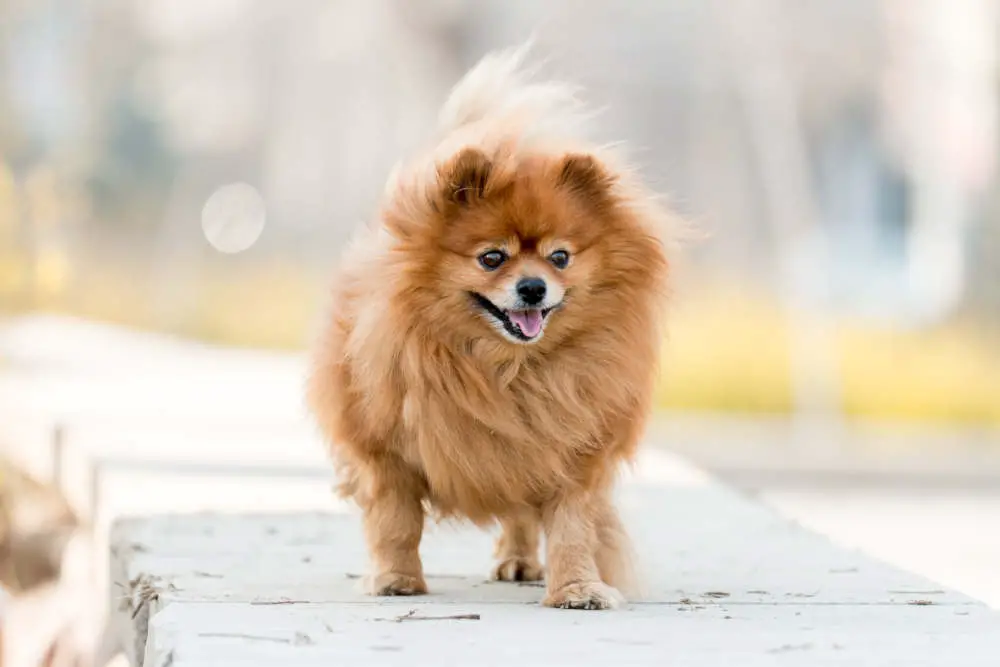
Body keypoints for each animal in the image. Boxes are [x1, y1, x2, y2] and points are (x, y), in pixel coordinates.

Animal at [308, 44, 676, 612]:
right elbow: (397, 523)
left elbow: (572, 529)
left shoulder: (570, 452)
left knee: (522, 515)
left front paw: (578, 588)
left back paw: (519, 561)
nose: (533, 287)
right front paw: (395, 579)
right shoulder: (386, 452)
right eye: (491, 258)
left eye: (560, 257)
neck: (509, 371)